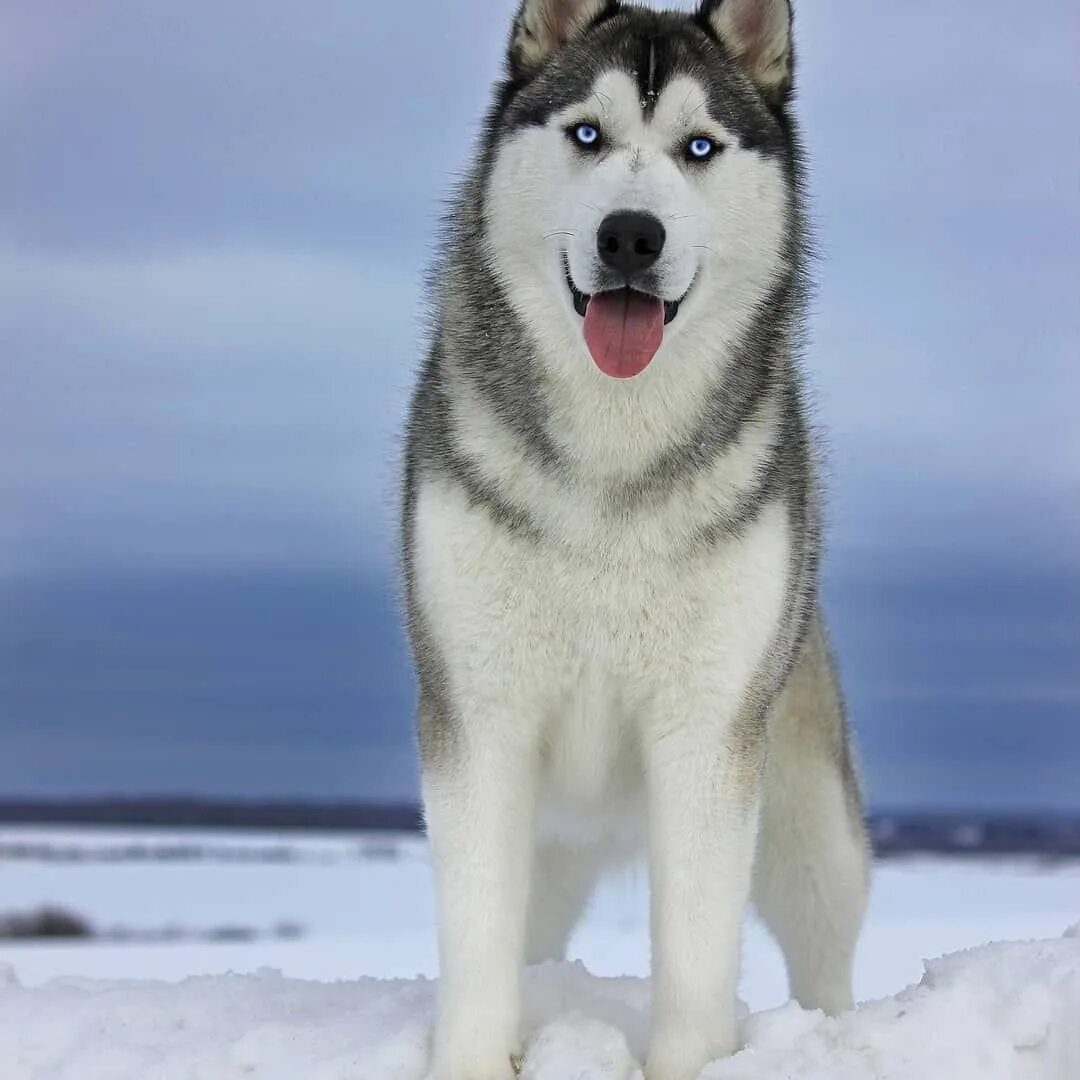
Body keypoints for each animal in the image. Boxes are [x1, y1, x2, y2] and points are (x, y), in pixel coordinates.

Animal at [403, 2, 868, 1080]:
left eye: (698, 146)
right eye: (588, 133)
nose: (630, 235)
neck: (612, 458)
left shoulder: (707, 734)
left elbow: (696, 955)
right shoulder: (477, 716)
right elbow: (476, 936)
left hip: (811, 820)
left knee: (824, 951)